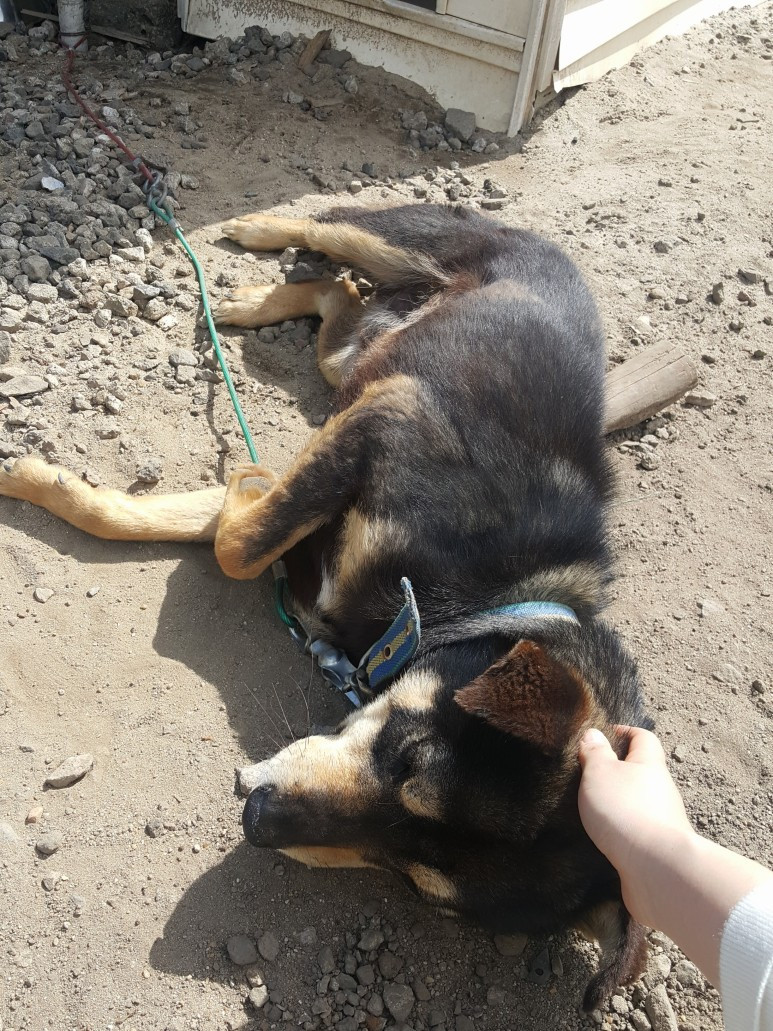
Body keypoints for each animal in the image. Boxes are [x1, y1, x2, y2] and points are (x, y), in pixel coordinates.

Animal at [0, 203, 651, 1009]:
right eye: (407, 757)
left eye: (418, 883)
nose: (256, 820)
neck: (480, 602)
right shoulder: (387, 419)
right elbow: (239, 541)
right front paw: (236, 480)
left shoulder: (348, 455)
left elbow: (190, 525)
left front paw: (47, 482)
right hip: (408, 248)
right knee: (327, 227)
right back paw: (258, 236)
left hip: (359, 361)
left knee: (340, 313)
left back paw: (272, 299)